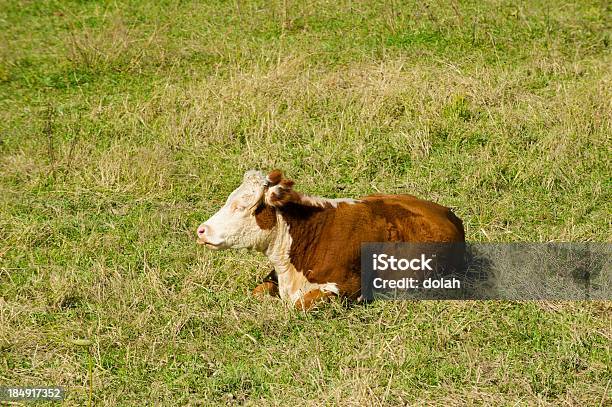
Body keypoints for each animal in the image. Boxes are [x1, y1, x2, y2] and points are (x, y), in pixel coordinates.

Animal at [196, 171, 464, 310]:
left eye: (241, 206)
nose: (201, 230)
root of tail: (447, 212)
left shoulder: (346, 288)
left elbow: (298, 305)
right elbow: (259, 291)